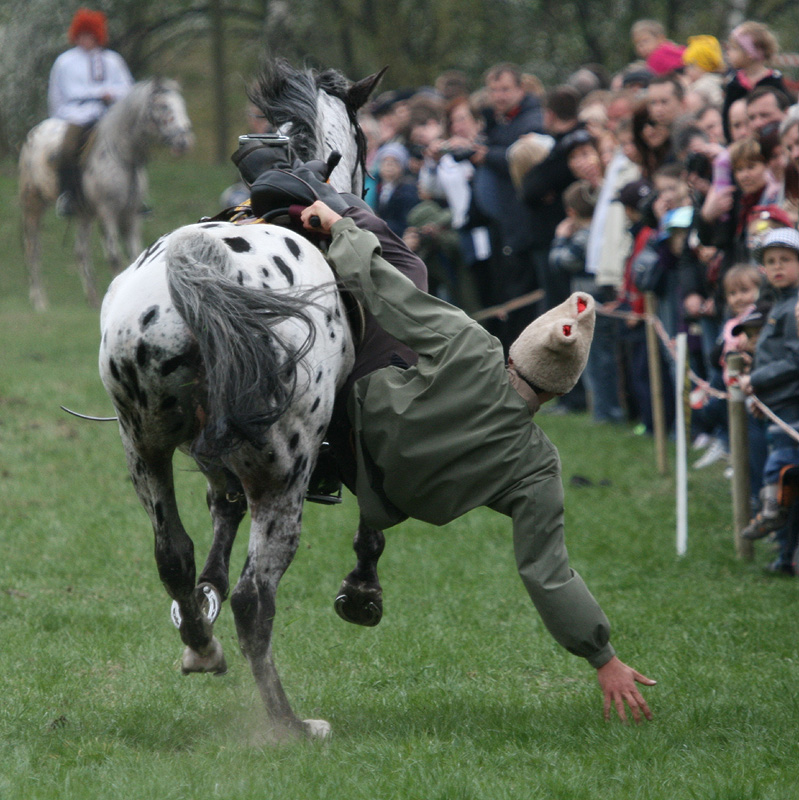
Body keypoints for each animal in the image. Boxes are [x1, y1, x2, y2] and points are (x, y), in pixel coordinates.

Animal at [18, 77, 194, 310]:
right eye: (164, 106)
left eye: (182, 103)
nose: (184, 142)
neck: (122, 156)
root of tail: (35, 132)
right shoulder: (107, 213)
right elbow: (114, 257)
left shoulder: (131, 216)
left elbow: (136, 255)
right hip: (33, 204)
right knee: (33, 249)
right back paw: (39, 301)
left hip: (84, 214)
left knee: (80, 251)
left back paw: (91, 298)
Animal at [98, 59, 386, 740]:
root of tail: (197, 268)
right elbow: (371, 516)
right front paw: (363, 593)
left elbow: (213, 530)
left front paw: (200, 610)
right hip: (282, 476)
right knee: (258, 596)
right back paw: (290, 724)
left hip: (143, 449)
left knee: (171, 555)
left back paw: (203, 647)